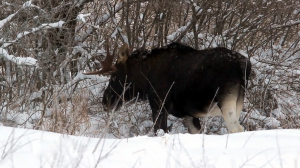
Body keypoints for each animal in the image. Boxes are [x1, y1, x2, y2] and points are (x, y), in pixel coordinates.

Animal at [85, 42, 252, 134]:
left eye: (114, 77)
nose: (106, 101)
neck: (146, 79)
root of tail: (244, 64)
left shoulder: (159, 104)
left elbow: (159, 131)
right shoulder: (189, 115)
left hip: (226, 101)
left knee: (236, 129)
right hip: (238, 101)